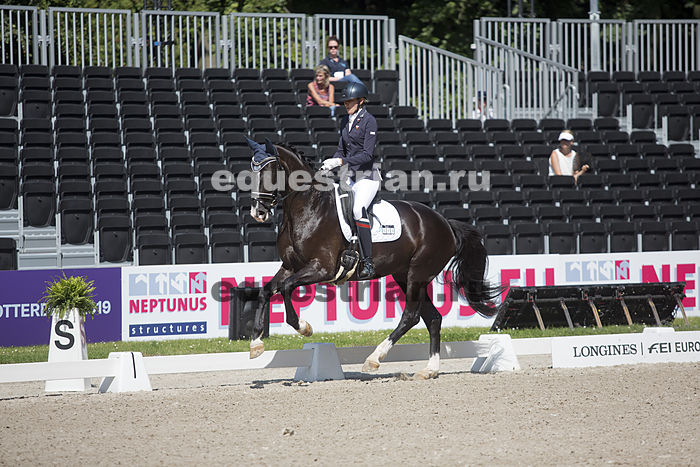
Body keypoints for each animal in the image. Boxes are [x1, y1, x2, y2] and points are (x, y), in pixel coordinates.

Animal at [246, 141, 502, 379]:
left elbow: (287, 288)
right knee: (433, 318)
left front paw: (303, 328)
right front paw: (256, 344)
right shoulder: (290, 267)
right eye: (252, 171)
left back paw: (374, 358)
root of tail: (445, 223)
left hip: (417, 275)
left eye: (270, 171)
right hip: (404, 275)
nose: (258, 212)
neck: (308, 208)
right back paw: (429, 370)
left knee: (411, 316)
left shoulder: (322, 268)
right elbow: (266, 291)